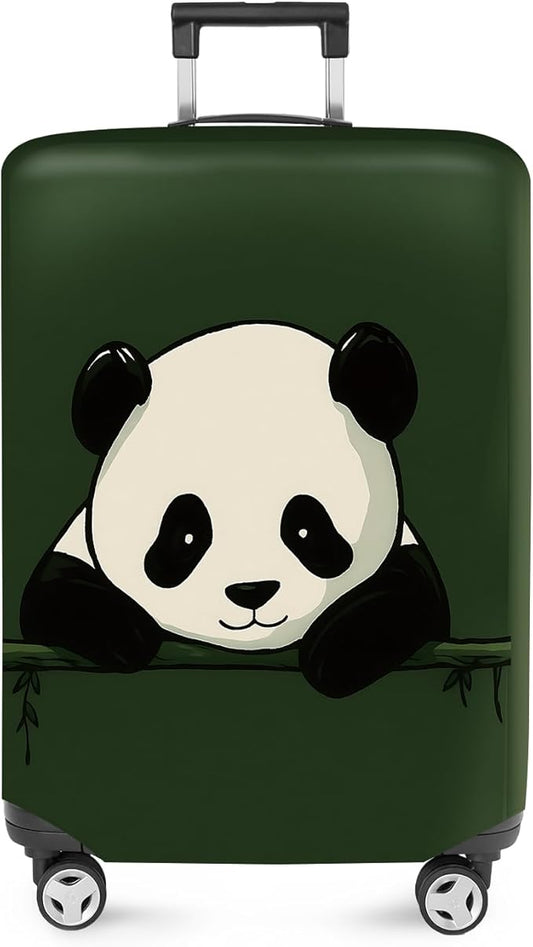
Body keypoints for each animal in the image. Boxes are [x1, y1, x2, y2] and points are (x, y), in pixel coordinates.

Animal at [20, 321, 449, 698]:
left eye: (306, 529)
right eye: (187, 535)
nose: (251, 591)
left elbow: (410, 599)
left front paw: (336, 654)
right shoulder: (76, 544)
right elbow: (51, 596)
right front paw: (128, 635)